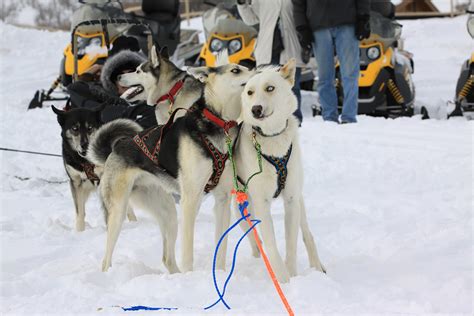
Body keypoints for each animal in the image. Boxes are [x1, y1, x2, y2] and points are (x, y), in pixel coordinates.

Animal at [87, 62, 254, 274]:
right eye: (236, 70)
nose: (260, 70)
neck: (220, 124)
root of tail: (116, 148)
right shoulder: (190, 199)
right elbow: (188, 251)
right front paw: (191, 275)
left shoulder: (222, 199)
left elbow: (221, 246)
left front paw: (220, 272)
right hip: (118, 212)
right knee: (106, 257)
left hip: (168, 214)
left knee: (167, 258)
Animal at [235, 59, 324, 284]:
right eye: (250, 92)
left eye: (270, 88)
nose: (256, 109)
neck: (272, 138)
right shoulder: (261, 203)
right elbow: (271, 244)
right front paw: (283, 280)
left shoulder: (291, 199)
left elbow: (291, 243)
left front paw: (292, 275)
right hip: (240, 207)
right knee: (254, 237)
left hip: (299, 199)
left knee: (307, 233)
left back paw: (318, 266)